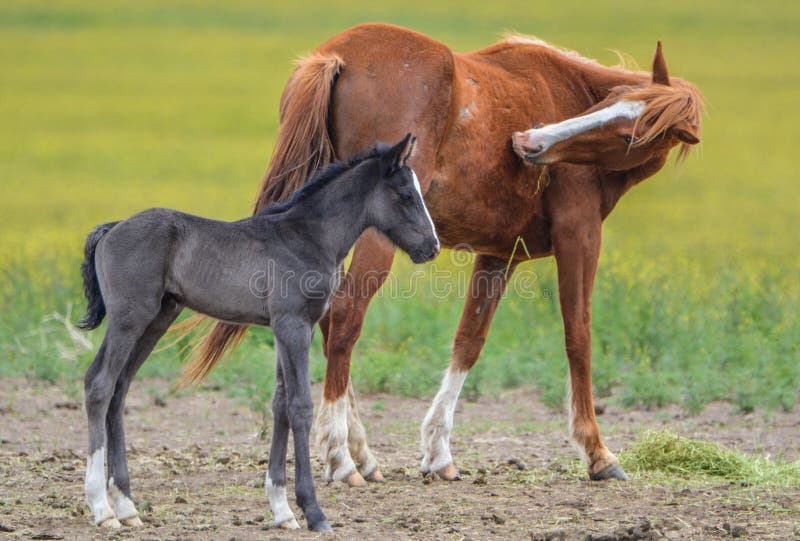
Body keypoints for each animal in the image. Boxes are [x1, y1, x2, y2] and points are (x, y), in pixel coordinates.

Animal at [76, 133, 438, 528]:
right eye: (407, 194)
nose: (432, 247)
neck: (308, 237)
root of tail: (113, 228)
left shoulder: (289, 328)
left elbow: (280, 404)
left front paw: (281, 509)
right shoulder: (293, 325)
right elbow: (300, 405)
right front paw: (313, 511)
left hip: (157, 319)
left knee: (120, 388)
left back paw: (126, 506)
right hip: (129, 318)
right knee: (99, 383)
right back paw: (102, 508)